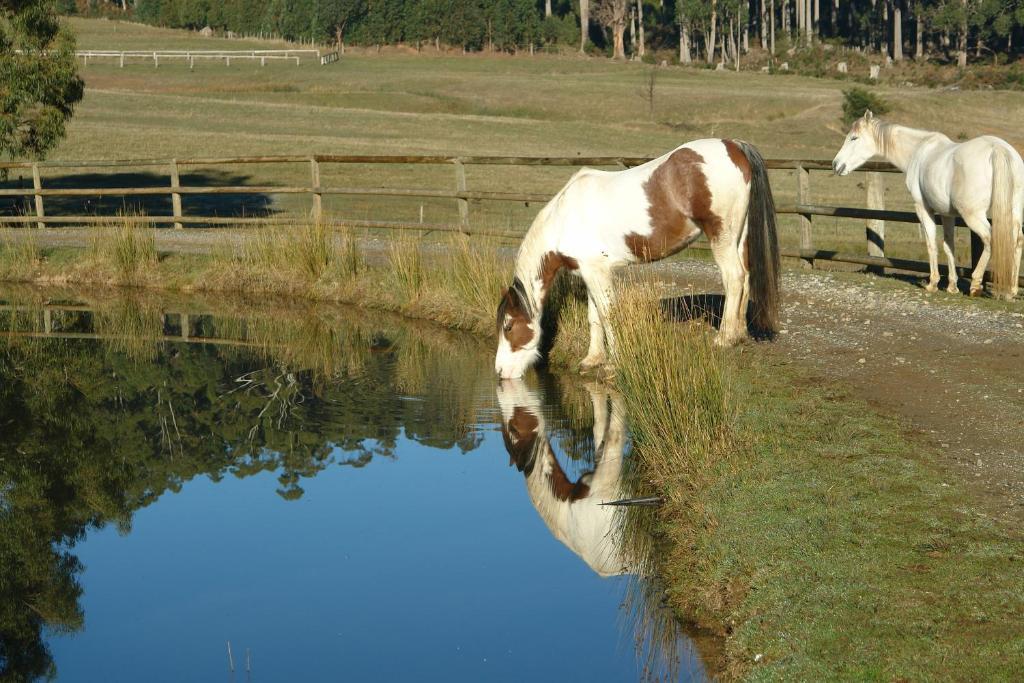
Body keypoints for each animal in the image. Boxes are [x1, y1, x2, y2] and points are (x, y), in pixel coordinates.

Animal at [491, 138, 778, 378]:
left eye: (508, 327)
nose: (500, 372)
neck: (564, 217)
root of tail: (734, 146)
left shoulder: (596, 272)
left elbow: (607, 314)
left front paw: (613, 362)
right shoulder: (591, 272)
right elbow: (594, 315)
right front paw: (592, 359)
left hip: (722, 237)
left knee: (734, 278)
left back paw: (724, 338)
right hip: (738, 236)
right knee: (746, 277)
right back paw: (740, 334)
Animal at [831, 112, 1024, 299]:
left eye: (854, 138)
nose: (835, 164)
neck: (918, 150)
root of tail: (998, 149)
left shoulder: (923, 209)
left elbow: (931, 244)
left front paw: (933, 283)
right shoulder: (947, 214)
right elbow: (948, 245)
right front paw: (952, 286)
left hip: (973, 215)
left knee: (990, 237)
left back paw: (976, 285)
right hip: (1013, 211)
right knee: (1018, 240)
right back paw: (1011, 290)